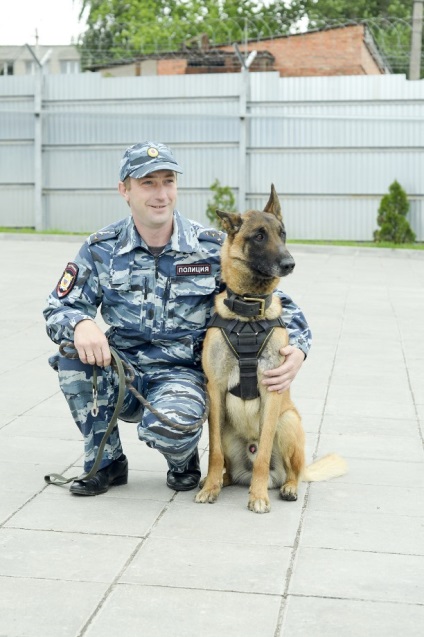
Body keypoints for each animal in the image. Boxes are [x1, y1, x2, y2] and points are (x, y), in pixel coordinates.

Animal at [196, 184, 348, 512]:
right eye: (259, 236)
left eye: (283, 233)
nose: (290, 264)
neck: (248, 313)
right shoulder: (214, 389)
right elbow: (214, 452)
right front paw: (211, 487)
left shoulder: (272, 392)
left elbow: (265, 453)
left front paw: (258, 497)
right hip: (227, 427)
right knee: (228, 465)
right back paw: (220, 481)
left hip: (287, 420)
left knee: (293, 472)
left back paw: (286, 487)